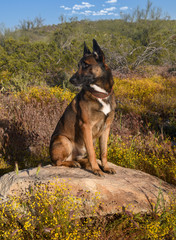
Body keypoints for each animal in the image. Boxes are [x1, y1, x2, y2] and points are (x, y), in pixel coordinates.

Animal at [49, 38, 115, 175]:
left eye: (86, 65)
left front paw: (105, 167)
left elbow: (103, 152)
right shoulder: (86, 126)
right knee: (57, 162)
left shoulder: (106, 128)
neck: (100, 94)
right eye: (78, 66)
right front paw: (96, 169)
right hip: (64, 140)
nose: (71, 80)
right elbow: (92, 153)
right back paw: (73, 163)